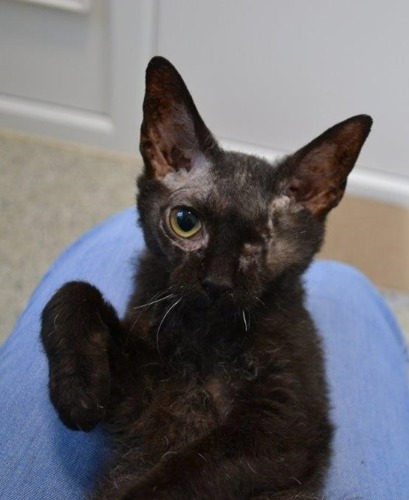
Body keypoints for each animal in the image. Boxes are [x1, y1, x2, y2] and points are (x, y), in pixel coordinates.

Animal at [40, 56, 370, 498]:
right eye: (185, 223)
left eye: (259, 242)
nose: (217, 283)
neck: (203, 334)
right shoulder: (140, 388)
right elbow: (73, 290)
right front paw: (77, 391)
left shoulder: (285, 422)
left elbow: (187, 472)